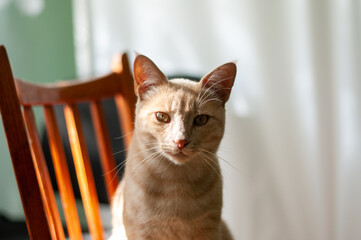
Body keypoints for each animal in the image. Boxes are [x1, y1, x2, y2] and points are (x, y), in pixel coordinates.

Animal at [108, 54, 235, 240]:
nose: (181, 141)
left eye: (201, 119)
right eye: (162, 116)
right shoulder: (140, 231)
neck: (175, 184)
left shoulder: (209, 229)